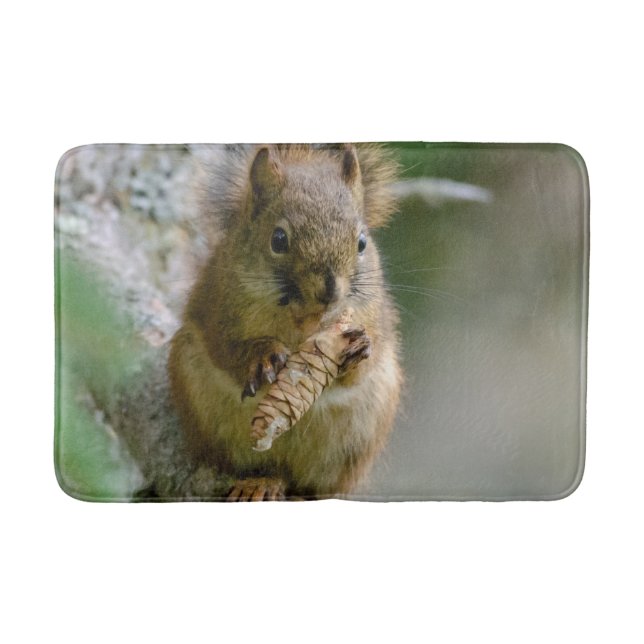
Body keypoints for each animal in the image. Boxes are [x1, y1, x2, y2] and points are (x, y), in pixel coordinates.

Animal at [168, 144, 402, 500]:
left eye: (362, 242)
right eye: (278, 239)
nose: (330, 290)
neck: (304, 321)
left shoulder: (372, 316)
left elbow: (359, 371)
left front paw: (359, 347)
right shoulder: (217, 310)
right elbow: (226, 348)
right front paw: (261, 356)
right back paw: (257, 482)